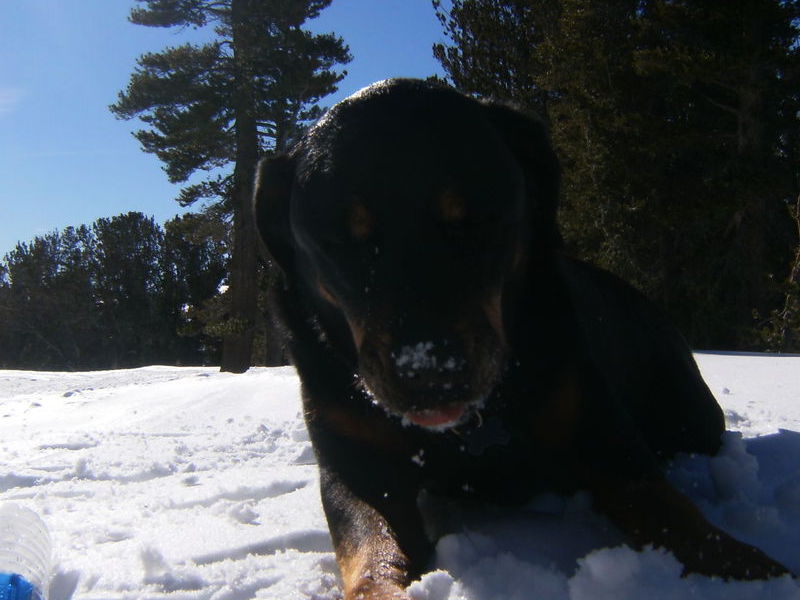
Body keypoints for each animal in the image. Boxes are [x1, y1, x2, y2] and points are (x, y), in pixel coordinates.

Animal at [255, 81, 788, 600]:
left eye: (475, 220)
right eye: (338, 241)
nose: (430, 373)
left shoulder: (600, 429)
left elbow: (669, 509)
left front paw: (752, 570)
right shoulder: (354, 460)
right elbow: (370, 546)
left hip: (688, 413)